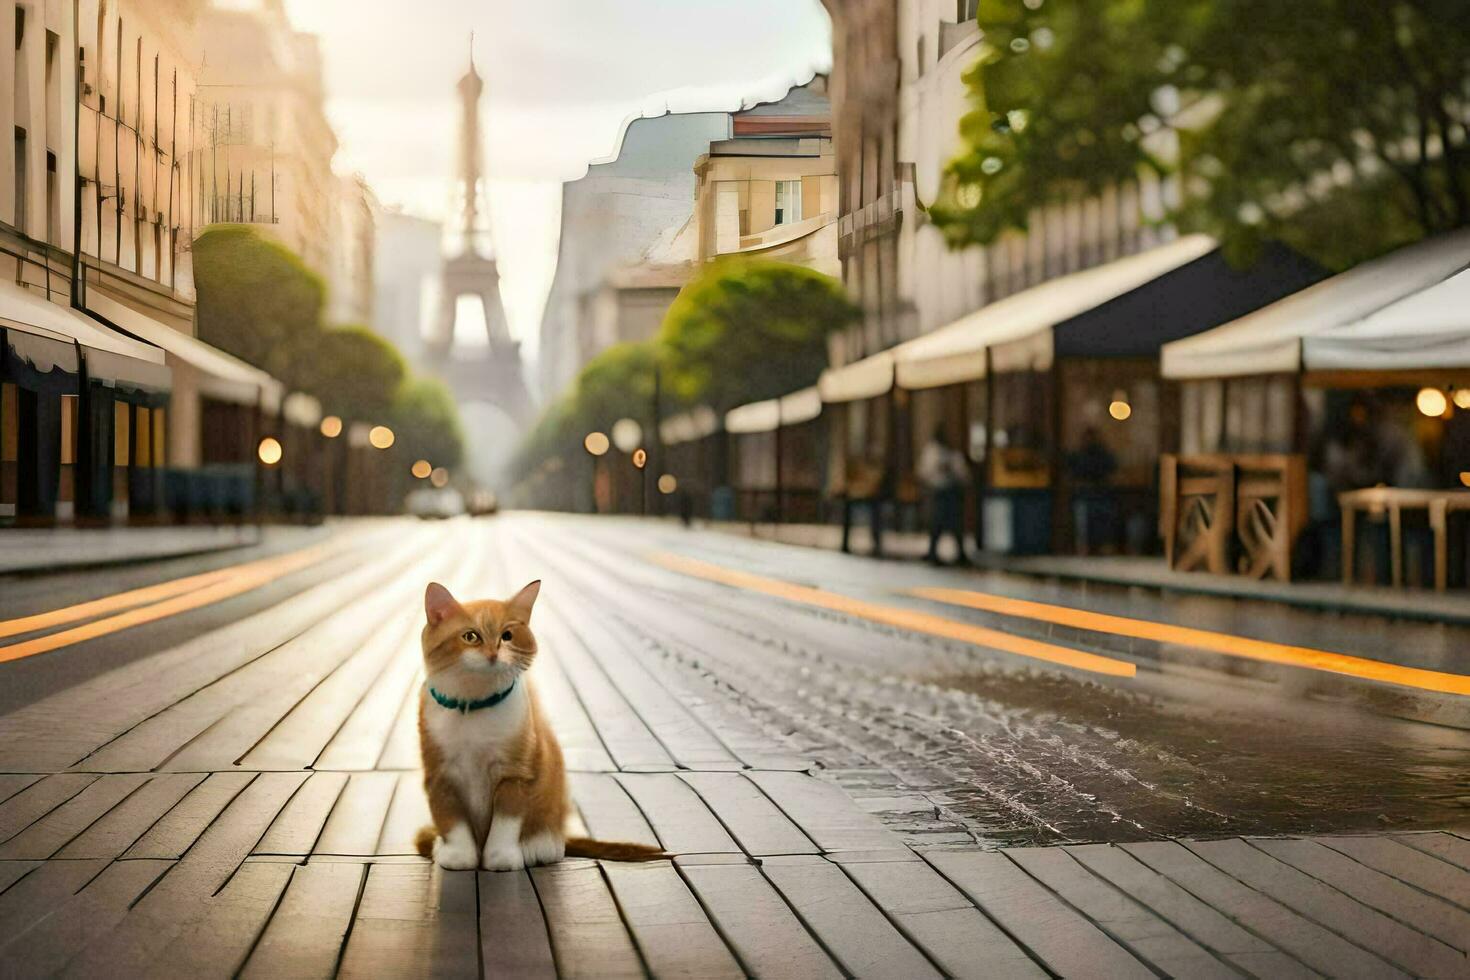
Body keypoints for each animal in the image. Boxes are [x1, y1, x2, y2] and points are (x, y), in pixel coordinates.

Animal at [417, 578, 664, 869]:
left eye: (507, 636)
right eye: (470, 636)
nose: (493, 654)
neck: (473, 705)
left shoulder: (517, 772)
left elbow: (506, 822)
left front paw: (501, 858)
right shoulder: (440, 774)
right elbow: (450, 820)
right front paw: (459, 856)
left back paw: (539, 846)